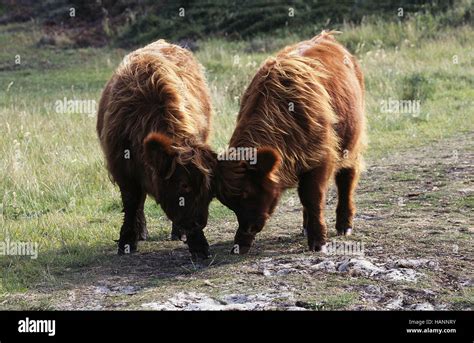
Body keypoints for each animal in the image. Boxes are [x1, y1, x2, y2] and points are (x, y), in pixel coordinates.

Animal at [96, 39, 215, 258]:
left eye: (207, 190)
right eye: (183, 185)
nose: (200, 221)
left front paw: (198, 245)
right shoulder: (122, 168)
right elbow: (132, 202)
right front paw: (127, 241)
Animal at [214, 31, 366, 255]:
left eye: (247, 193)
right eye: (229, 203)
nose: (249, 227)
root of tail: (326, 36)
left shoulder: (322, 157)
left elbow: (312, 197)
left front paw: (318, 241)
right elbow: (306, 197)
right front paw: (241, 242)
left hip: (351, 142)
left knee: (347, 178)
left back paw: (344, 224)